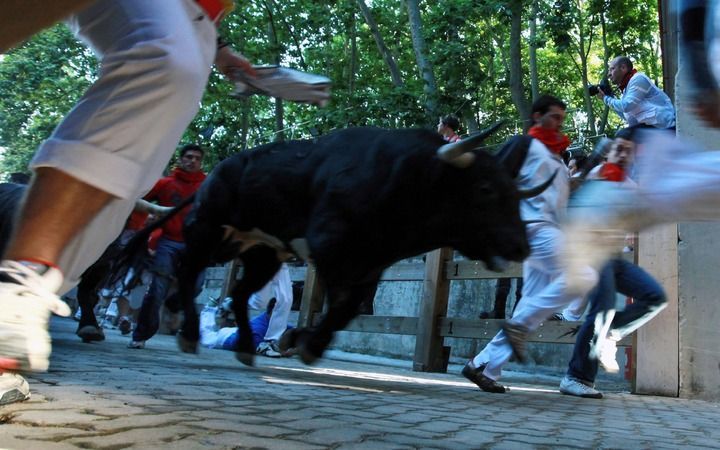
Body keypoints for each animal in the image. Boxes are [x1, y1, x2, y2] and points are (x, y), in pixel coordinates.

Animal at [119, 125, 556, 364]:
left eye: (516, 193)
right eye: (484, 188)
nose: (521, 247)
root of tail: (214, 172)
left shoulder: (372, 263)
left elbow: (347, 309)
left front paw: (307, 341)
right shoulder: (329, 248)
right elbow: (341, 303)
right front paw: (305, 341)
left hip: (262, 253)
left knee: (240, 293)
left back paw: (243, 346)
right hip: (210, 230)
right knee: (189, 270)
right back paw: (190, 333)